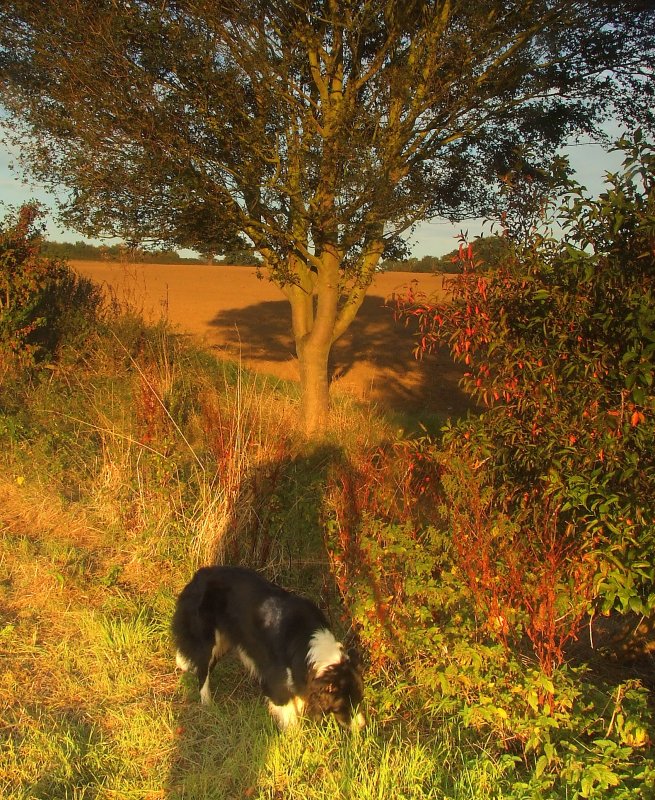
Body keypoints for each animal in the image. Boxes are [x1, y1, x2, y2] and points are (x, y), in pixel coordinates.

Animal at [172, 564, 366, 732]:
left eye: (360, 700)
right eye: (344, 706)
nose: (362, 727)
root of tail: (198, 576)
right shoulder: (277, 680)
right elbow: (288, 711)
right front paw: (294, 739)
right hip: (208, 639)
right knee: (202, 669)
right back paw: (208, 704)